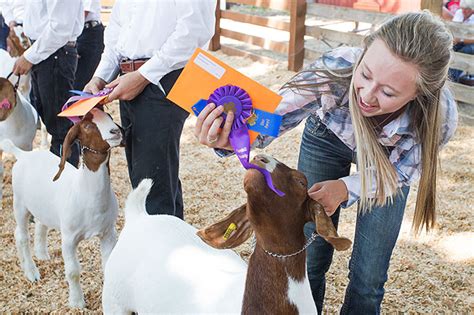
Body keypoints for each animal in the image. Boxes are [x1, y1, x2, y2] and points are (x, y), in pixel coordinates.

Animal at [0, 108, 122, 308]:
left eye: (110, 117)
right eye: (87, 126)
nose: (115, 131)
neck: (83, 191)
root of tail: (23, 155)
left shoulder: (108, 233)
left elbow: (109, 264)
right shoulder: (69, 238)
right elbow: (73, 271)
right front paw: (77, 302)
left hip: (42, 206)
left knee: (41, 224)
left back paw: (41, 255)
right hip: (20, 204)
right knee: (21, 236)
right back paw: (31, 272)